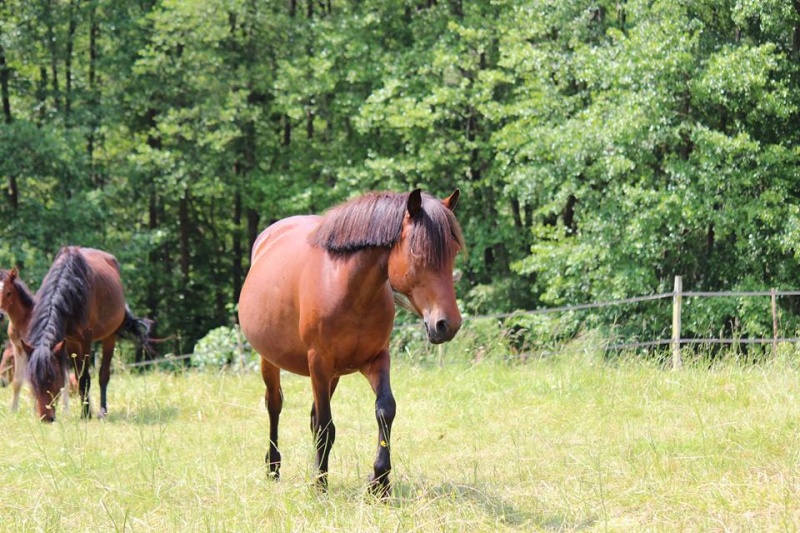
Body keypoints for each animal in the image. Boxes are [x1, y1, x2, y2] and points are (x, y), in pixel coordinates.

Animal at [24, 246, 152, 424]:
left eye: (53, 378)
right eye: (32, 381)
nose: (46, 418)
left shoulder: (85, 340)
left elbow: (85, 377)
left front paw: (85, 414)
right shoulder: (70, 341)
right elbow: (78, 378)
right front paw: (86, 410)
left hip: (109, 337)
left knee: (104, 375)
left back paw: (102, 411)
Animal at [238, 189, 462, 496]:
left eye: (453, 253)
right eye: (418, 253)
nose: (447, 324)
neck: (348, 289)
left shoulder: (376, 360)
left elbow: (385, 410)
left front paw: (379, 482)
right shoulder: (318, 362)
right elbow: (325, 426)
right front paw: (320, 486)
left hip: (332, 374)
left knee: (312, 416)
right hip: (271, 361)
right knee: (275, 405)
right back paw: (273, 467)